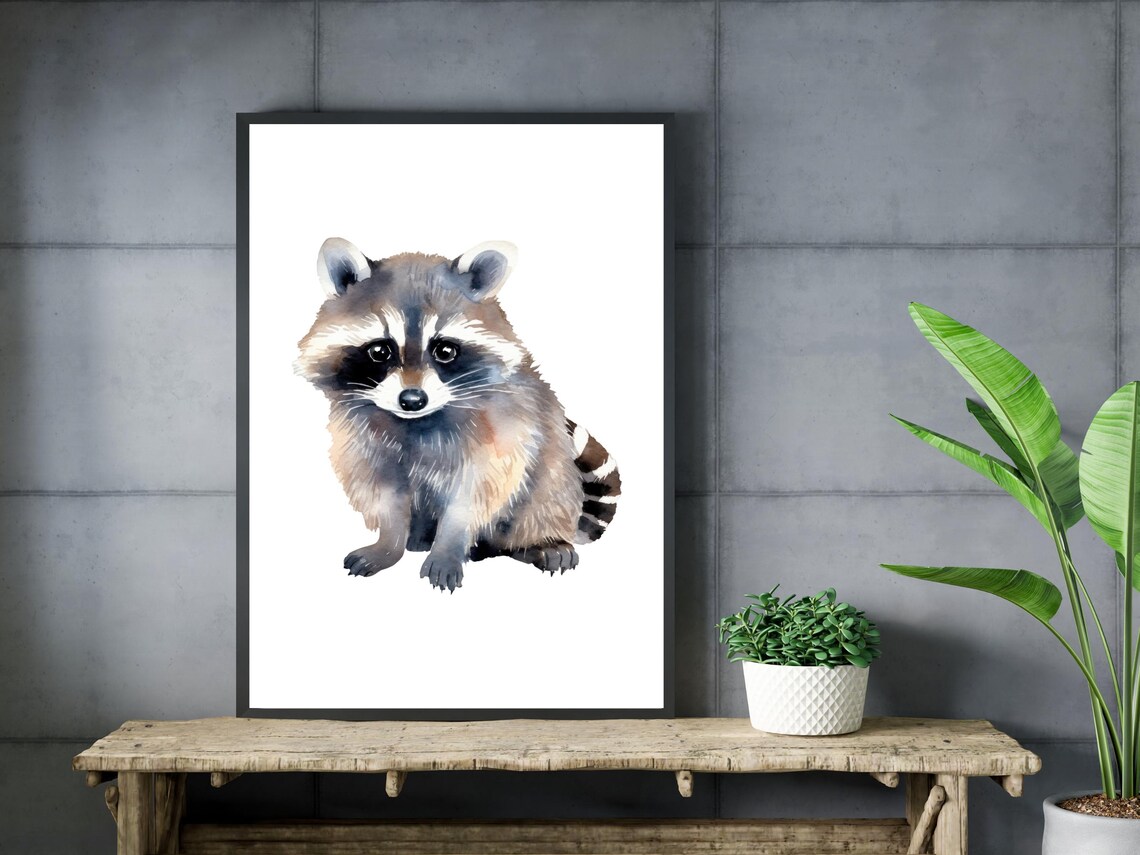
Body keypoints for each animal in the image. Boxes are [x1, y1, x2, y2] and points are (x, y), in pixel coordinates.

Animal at [295, 238, 622, 592]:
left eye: (445, 351)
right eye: (380, 351)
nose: (412, 400)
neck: (417, 423)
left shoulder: (502, 429)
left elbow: (474, 494)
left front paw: (448, 549)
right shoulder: (362, 439)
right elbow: (384, 493)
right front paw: (389, 545)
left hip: (553, 472)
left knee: (546, 492)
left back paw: (541, 543)